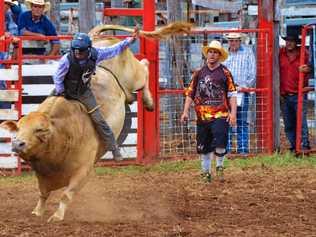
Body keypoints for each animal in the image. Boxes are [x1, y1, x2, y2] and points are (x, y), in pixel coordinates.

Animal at [0, 21, 191, 222]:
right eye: (17, 128)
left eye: (40, 130)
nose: (18, 144)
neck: (62, 131)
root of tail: (98, 39)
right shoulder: (43, 174)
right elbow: (43, 193)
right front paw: (37, 212)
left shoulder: (83, 170)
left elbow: (66, 194)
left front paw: (57, 216)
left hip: (134, 76)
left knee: (145, 67)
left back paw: (149, 102)